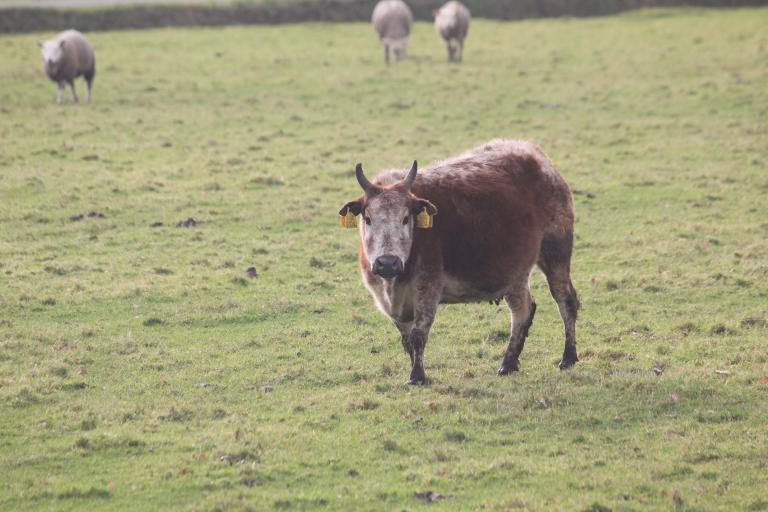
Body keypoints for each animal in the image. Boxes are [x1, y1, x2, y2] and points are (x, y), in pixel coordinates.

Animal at [340, 140, 580, 384]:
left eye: (406, 218)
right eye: (368, 219)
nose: (387, 263)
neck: (394, 282)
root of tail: (533, 153)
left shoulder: (428, 288)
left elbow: (418, 335)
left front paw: (417, 376)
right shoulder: (387, 301)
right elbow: (406, 339)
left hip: (556, 253)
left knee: (565, 301)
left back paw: (567, 357)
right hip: (516, 274)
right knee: (522, 310)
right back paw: (509, 363)